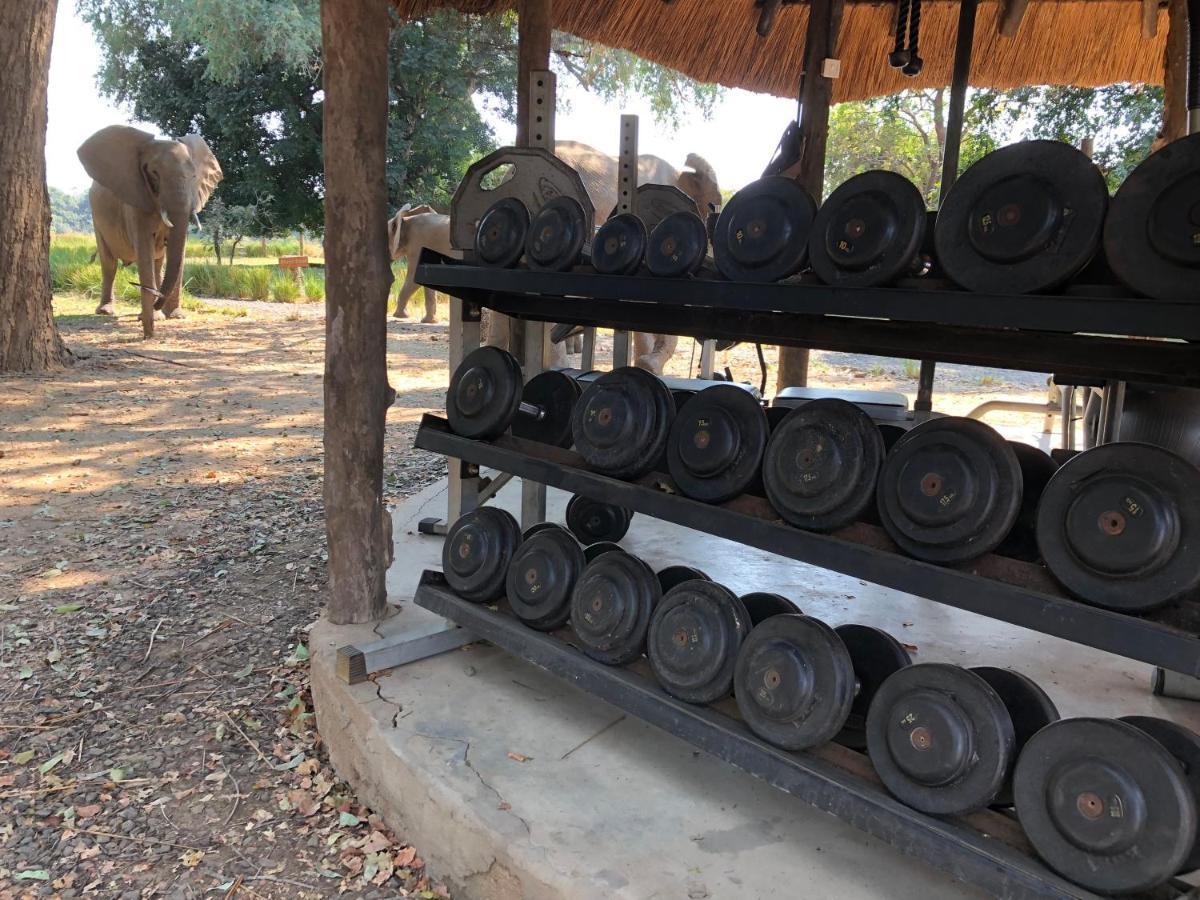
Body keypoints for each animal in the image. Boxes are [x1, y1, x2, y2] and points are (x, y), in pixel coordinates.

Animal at [78, 125, 223, 340]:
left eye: (194, 177)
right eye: (154, 173)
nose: (148, 334)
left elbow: (176, 251)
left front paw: (175, 317)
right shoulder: (135, 199)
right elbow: (144, 247)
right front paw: (153, 319)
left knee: (157, 262)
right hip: (96, 217)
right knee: (109, 264)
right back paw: (106, 311)